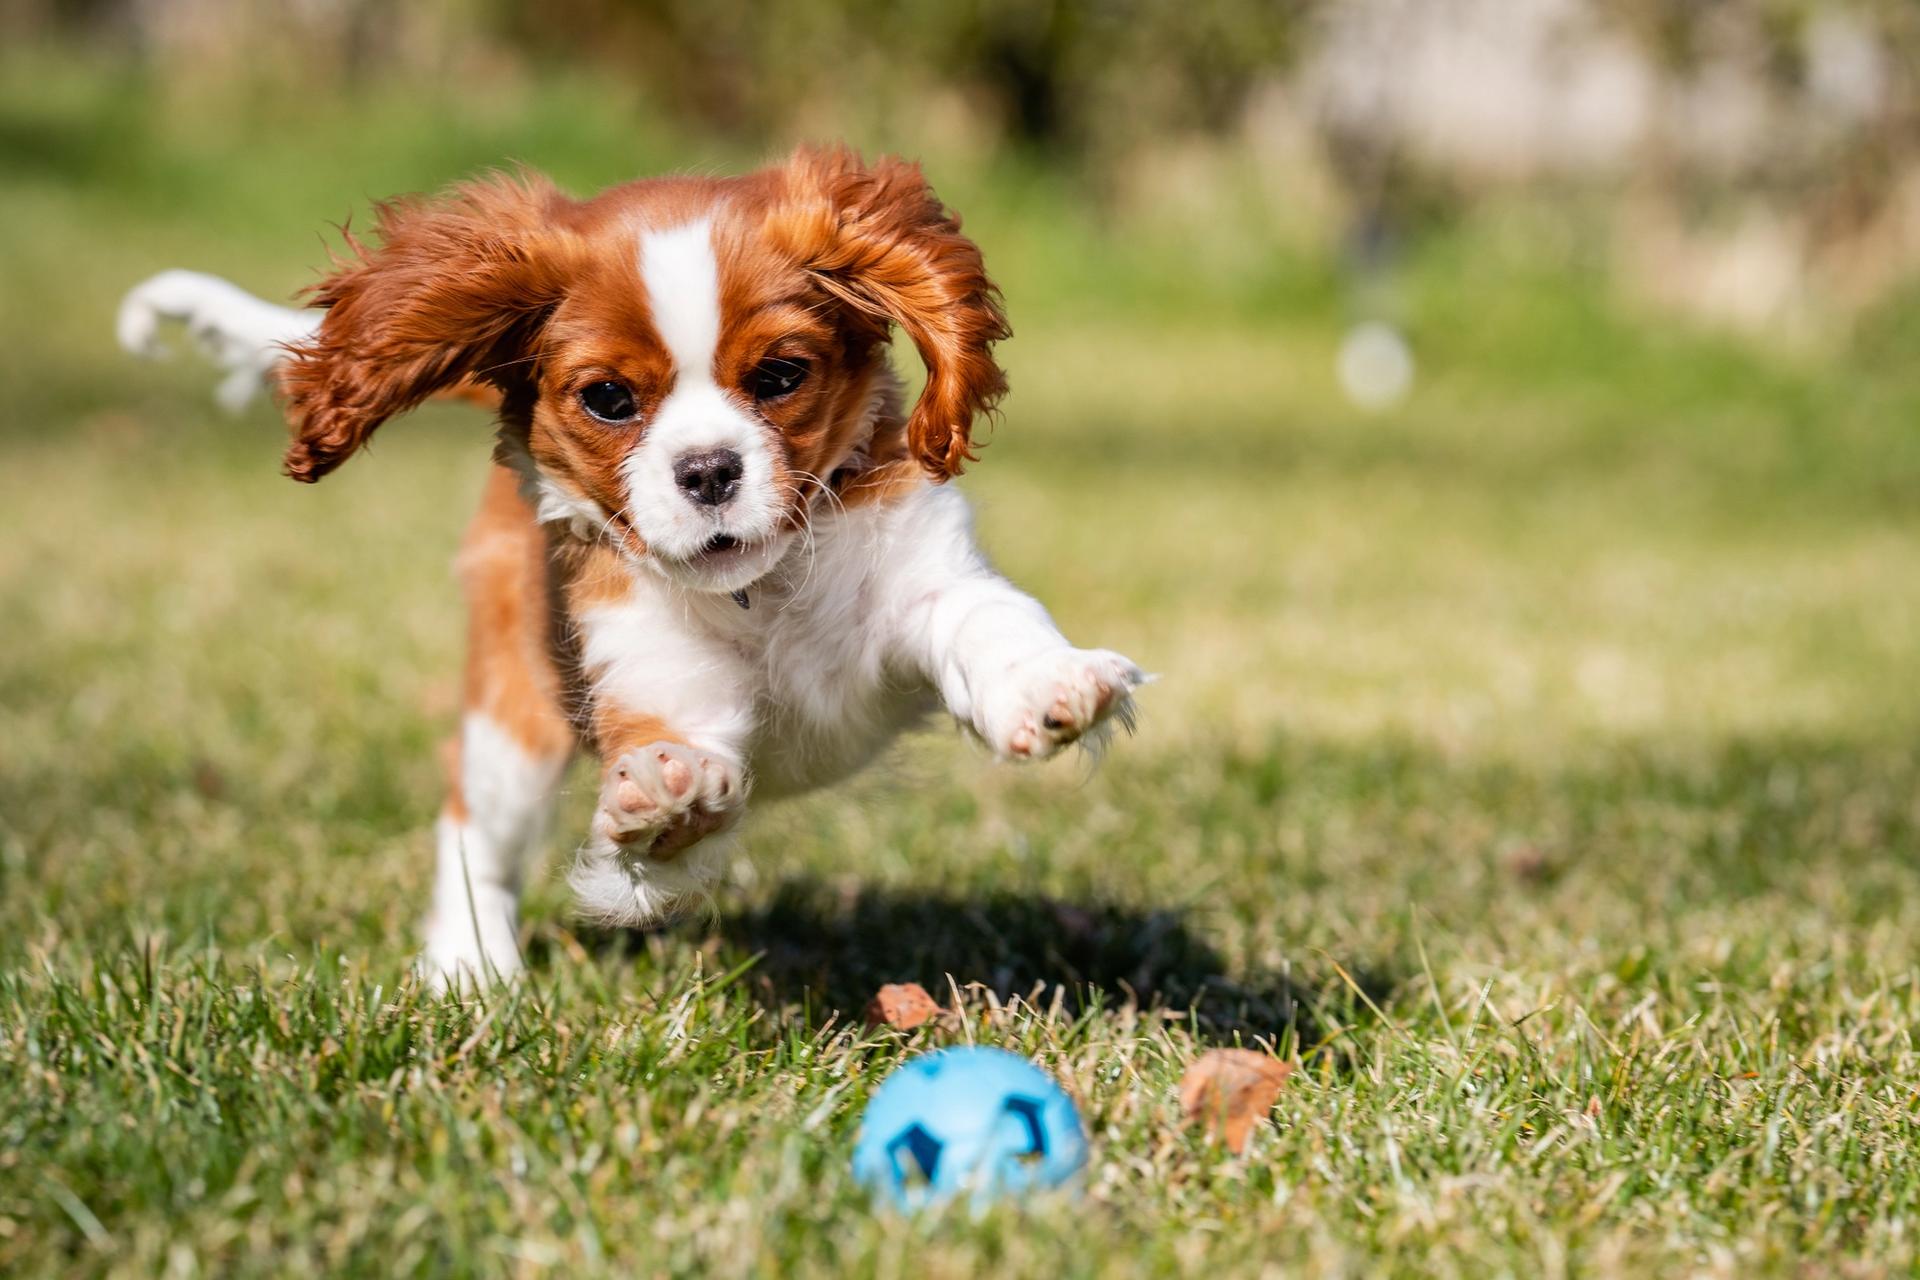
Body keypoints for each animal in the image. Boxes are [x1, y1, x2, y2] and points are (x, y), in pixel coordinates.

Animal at [120, 147, 1144, 990]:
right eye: (610, 399)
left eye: (780, 376)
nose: (709, 470)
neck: (760, 588)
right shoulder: (656, 680)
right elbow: (669, 795)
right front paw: (666, 799)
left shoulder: (921, 569)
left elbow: (986, 621)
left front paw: (1050, 685)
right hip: (517, 710)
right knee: (475, 827)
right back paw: (470, 971)